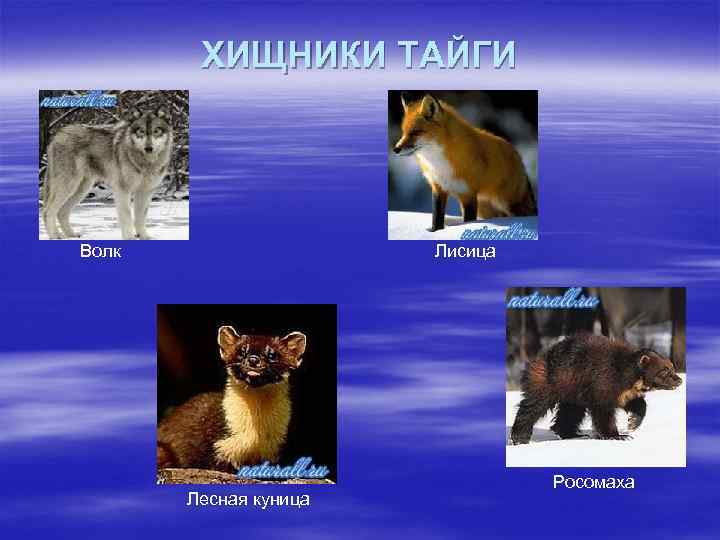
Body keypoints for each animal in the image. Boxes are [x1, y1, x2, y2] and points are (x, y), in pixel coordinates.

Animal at [42, 107, 173, 240]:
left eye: (156, 131)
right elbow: (127, 217)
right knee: (48, 211)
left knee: (61, 212)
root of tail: (58, 135)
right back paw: (55, 236)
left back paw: (71, 235)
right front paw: (129, 238)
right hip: (68, 186)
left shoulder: (145, 192)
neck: (146, 162)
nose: (148, 148)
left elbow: (140, 218)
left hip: (81, 190)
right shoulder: (122, 191)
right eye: (141, 131)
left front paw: (144, 237)